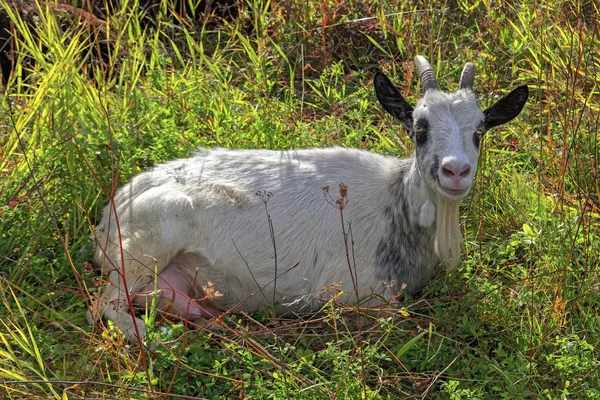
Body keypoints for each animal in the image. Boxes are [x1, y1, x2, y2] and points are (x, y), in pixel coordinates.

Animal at [86, 56, 528, 342]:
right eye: (419, 128)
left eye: (480, 130)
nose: (456, 171)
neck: (396, 203)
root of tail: (112, 212)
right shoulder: (351, 294)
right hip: (144, 247)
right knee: (105, 305)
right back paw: (148, 337)